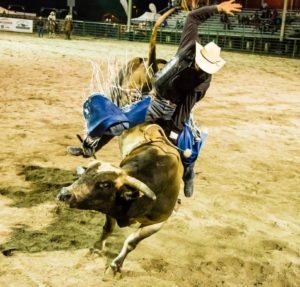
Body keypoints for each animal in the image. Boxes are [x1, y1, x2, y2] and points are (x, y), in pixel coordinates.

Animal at [56, 123, 183, 274]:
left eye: (105, 184)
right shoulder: (110, 209)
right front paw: (97, 248)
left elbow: (131, 242)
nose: (64, 193)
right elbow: (108, 228)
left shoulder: (157, 223)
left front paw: (115, 265)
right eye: (84, 174)